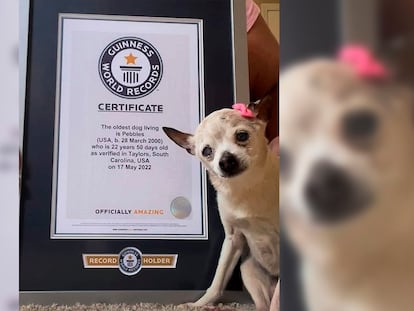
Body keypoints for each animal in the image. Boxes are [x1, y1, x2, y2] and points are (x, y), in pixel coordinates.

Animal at [162, 100, 278, 311]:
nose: (226, 160)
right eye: (207, 151)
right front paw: (198, 304)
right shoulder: (233, 239)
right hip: (248, 271)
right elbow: (218, 280)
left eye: (242, 136)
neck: (245, 187)